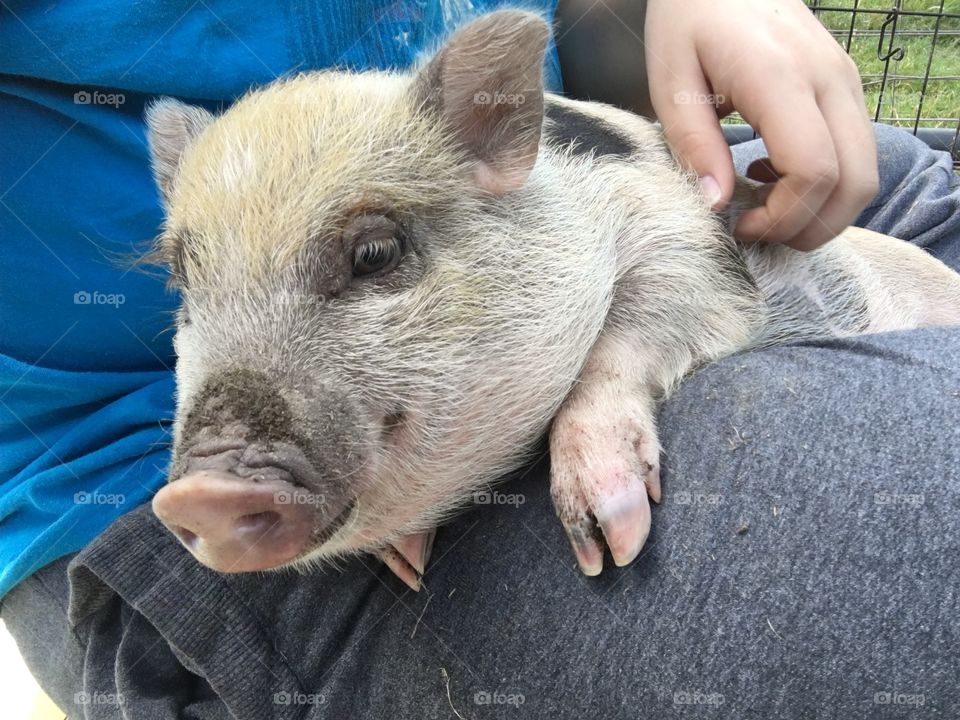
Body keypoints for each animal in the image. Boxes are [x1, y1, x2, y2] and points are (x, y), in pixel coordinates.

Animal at [146, 10, 960, 589]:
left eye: (375, 252)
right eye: (184, 287)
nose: (201, 492)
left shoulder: (696, 252)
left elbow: (629, 336)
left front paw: (611, 548)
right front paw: (410, 568)